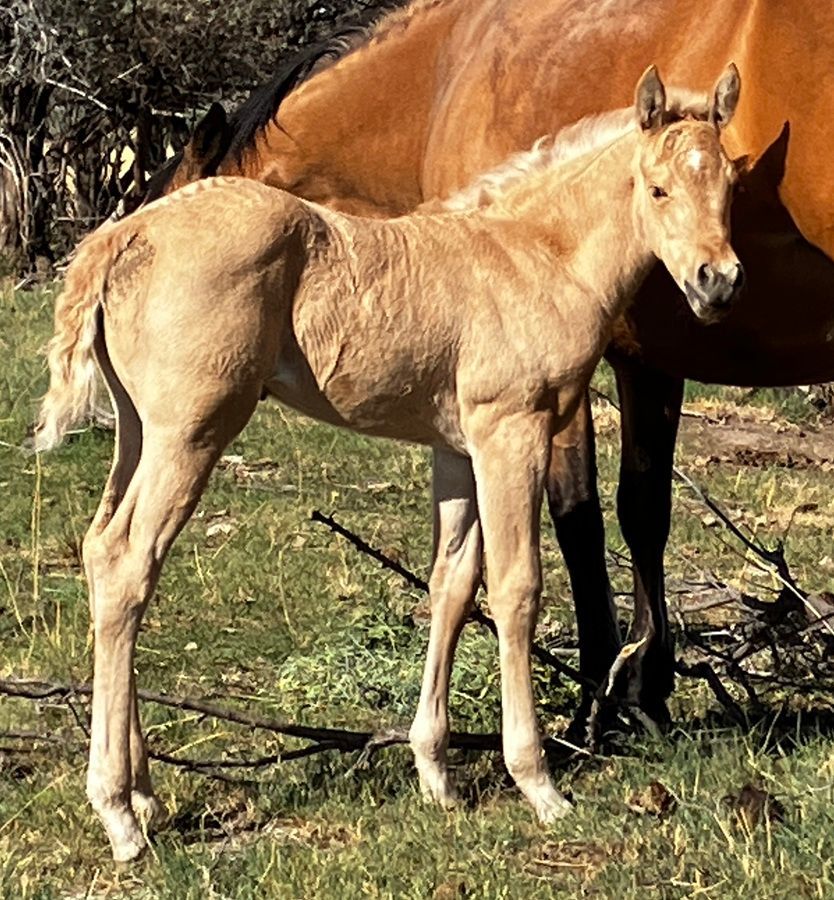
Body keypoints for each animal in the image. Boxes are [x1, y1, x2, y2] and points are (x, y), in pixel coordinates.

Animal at [36, 68, 742, 861]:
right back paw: (119, 815)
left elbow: (453, 584)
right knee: (130, 563)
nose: (717, 282)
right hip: (190, 431)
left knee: (103, 552)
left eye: (729, 183)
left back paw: (145, 795)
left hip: (137, 430)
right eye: (657, 188)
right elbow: (518, 587)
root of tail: (124, 233)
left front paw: (437, 773)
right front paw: (537, 783)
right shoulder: (512, 431)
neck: (536, 255)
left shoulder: (459, 447)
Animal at [148, 0, 834, 725]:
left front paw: (596, 703)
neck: (440, 79)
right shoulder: (648, 360)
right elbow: (643, 512)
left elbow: (575, 514)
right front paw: (645, 694)